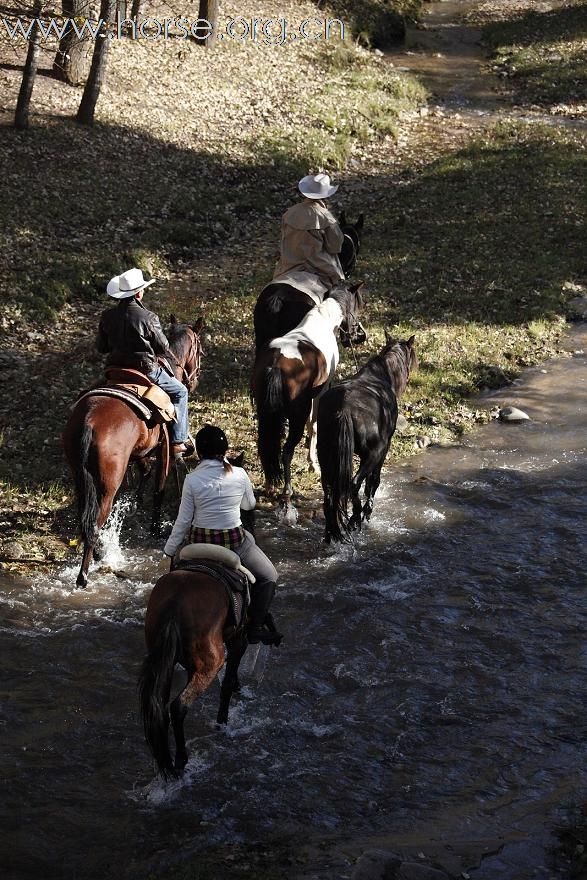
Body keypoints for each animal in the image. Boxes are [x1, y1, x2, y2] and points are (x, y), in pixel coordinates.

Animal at [62, 320, 204, 588]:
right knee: (94, 524)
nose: (194, 381)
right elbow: (159, 489)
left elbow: (145, 471)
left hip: (80, 477)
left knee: (84, 520)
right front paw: (156, 528)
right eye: (200, 351)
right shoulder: (165, 451)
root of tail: (88, 421)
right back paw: (84, 574)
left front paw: (137, 501)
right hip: (108, 485)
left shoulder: (142, 452)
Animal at [252, 280, 366, 524]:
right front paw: (313, 463)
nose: (356, 336)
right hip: (296, 414)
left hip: (265, 413)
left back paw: (269, 485)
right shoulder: (321, 391)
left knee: (266, 444)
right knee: (286, 450)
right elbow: (313, 424)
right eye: (358, 305)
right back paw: (286, 491)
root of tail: (275, 365)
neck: (321, 322)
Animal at [316, 336, 418, 544]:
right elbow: (374, 481)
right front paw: (367, 512)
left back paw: (332, 532)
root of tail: (343, 408)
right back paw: (355, 518)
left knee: (329, 492)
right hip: (372, 454)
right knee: (354, 484)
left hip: (325, 455)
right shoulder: (383, 449)